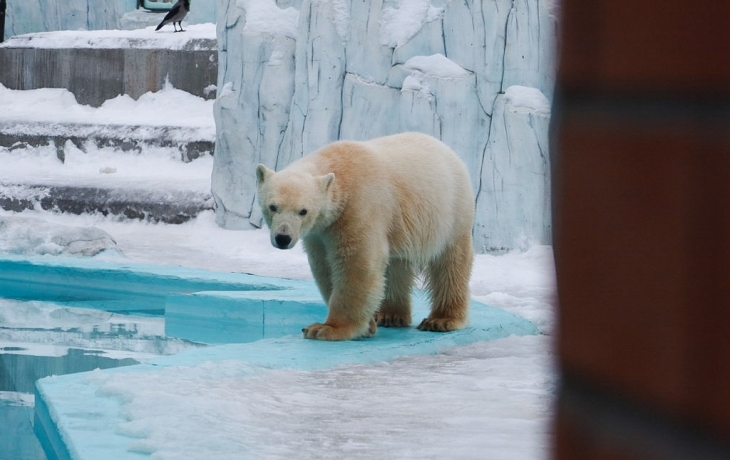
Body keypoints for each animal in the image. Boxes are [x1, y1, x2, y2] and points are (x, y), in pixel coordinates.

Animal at [255, 131, 472, 340]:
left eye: (303, 211)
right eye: (273, 207)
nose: (283, 238)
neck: (339, 168)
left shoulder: (359, 206)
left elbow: (356, 263)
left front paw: (327, 329)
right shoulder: (320, 231)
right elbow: (324, 266)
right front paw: (368, 326)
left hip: (451, 211)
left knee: (450, 263)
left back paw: (441, 320)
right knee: (396, 264)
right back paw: (390, 315)